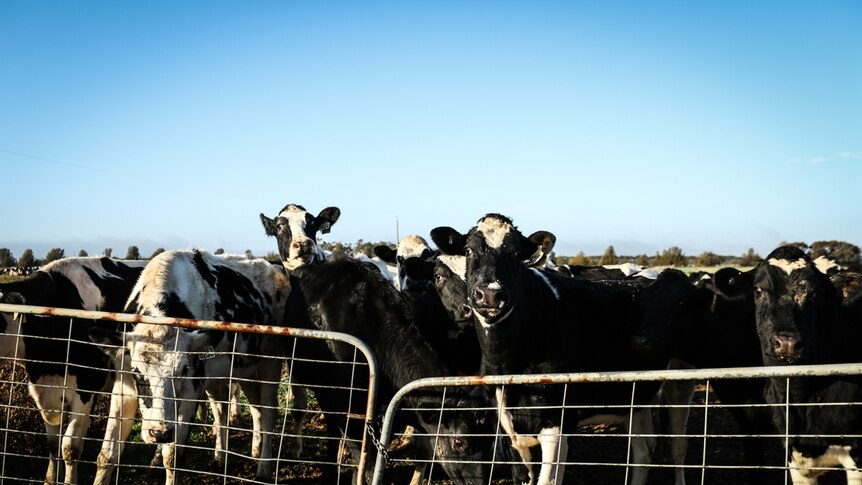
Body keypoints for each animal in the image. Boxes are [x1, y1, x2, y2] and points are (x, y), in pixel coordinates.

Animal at [93, 250, 304, 484]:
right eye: (137, 374)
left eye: (184, 371)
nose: (159, 433)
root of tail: (272, 266)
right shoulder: (125, 385)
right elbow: (107, 454)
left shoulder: (191, 391)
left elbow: (172, 456)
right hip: (244, 369)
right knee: (249, 408)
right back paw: (241, 452)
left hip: (271, 361)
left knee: (268, 410)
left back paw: (264, 467)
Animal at [432, 215, 660, 484]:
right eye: (468, 250)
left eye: (517, 253)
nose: (489, 294)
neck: (508, 363)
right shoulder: (506, 424)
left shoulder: (556, 422)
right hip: (637, 398)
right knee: (644, 451)